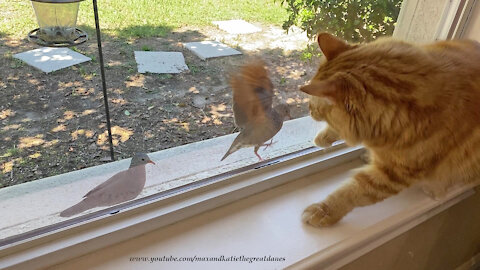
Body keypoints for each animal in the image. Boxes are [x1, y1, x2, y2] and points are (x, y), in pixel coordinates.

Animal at [300, 31, 480, 227]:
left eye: (313, 104)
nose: (308, 109)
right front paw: (323, 138)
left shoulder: (394, 175)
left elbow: (352, 192)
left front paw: (325, 210)